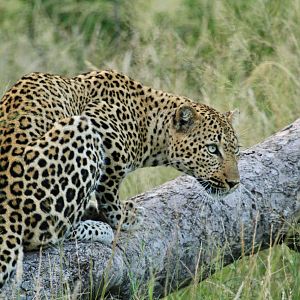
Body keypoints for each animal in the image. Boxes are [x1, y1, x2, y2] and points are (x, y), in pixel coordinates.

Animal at [0, 69, 239, 288]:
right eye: (212, 149)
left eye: (235, 150)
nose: (234, 183)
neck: (148, 124)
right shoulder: (99, 126)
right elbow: (109, 187)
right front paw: (124, 216)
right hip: (80, 130)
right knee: (49, 234)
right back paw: (99, 228)